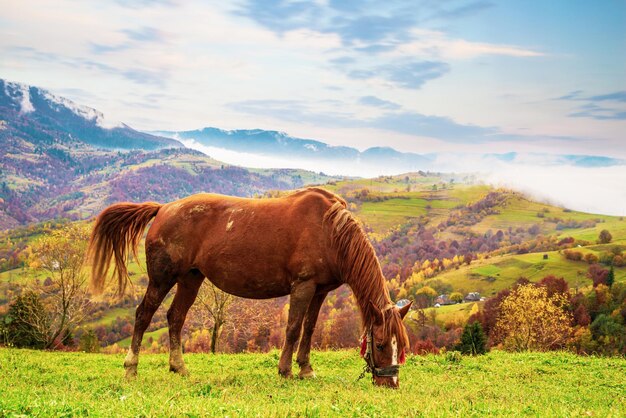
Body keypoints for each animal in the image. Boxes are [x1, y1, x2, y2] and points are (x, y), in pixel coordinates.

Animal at [86, 188, 410, 386]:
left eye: (402, 346)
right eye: (381, 344)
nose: (390, 383)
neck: (329, 230)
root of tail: (164, 208)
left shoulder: (320, 290)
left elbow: (309, 329)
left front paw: (306, 369)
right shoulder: (303, 286)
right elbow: (293, 327)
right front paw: (285, 370)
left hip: (190, 278)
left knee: (175, 317)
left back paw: (179, 367)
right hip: (162, 278)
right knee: (143, 314)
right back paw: (131, 368)